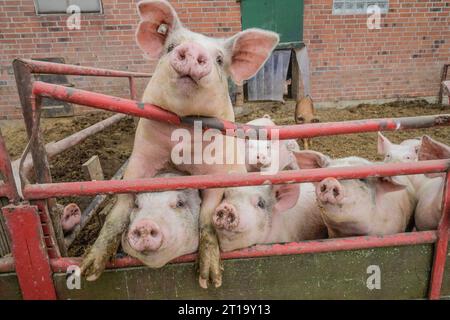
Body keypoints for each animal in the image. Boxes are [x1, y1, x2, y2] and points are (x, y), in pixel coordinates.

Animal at [81, 0, 278, 290]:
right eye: (171, 46)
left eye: (220, 59)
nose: (194, 50)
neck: (181, 145)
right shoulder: (138, 165)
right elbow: (117, 214)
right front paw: (88, 273)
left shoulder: (216, 174)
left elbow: (206, 219)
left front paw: (209, 280)